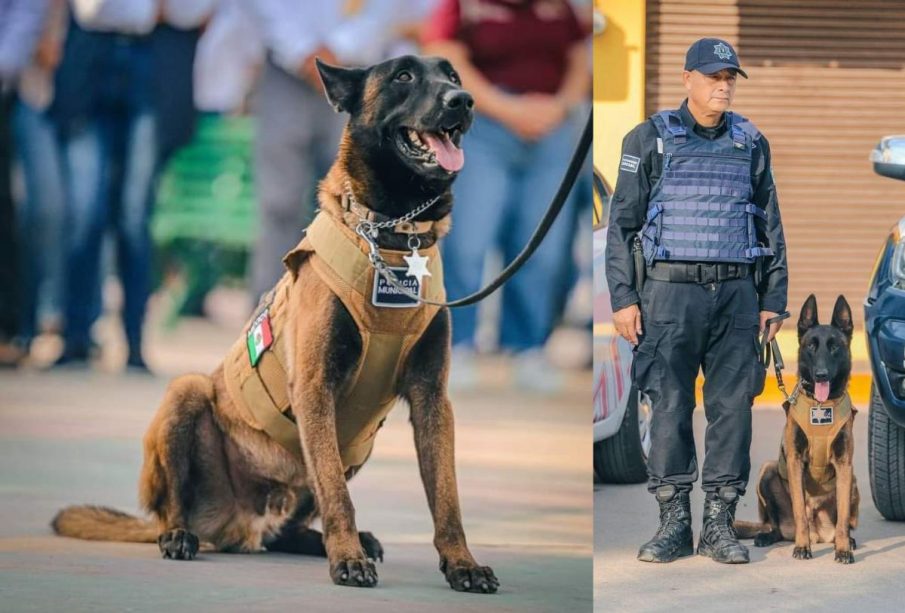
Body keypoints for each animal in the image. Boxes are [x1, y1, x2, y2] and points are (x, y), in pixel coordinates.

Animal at [53, 56, 502, 592]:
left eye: (452, 77)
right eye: (404, 78)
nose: (463, 101)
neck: (392, 236)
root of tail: (237, 526)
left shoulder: (432, 400)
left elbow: (446, 496)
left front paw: (462, 563)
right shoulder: (315, 388)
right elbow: (337, 494)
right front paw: (347, 560)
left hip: (355, 446)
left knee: (286, 530)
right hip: (188, 392)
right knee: (175, 510)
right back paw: (181, 535)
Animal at [736, 294, 856, 560]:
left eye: (834, 347)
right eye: (811, 346)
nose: (821, 375)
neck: (821, 406)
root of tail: (819, 534)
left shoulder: (844, 464)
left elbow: (843, 516)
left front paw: (843, 549)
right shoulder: (794, 461)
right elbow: (800, 510)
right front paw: (802, 547)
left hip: (853, 479)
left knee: (844, 521)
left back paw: (846, 541)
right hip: (768, 470)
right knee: (775, 525)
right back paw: (769, 536)